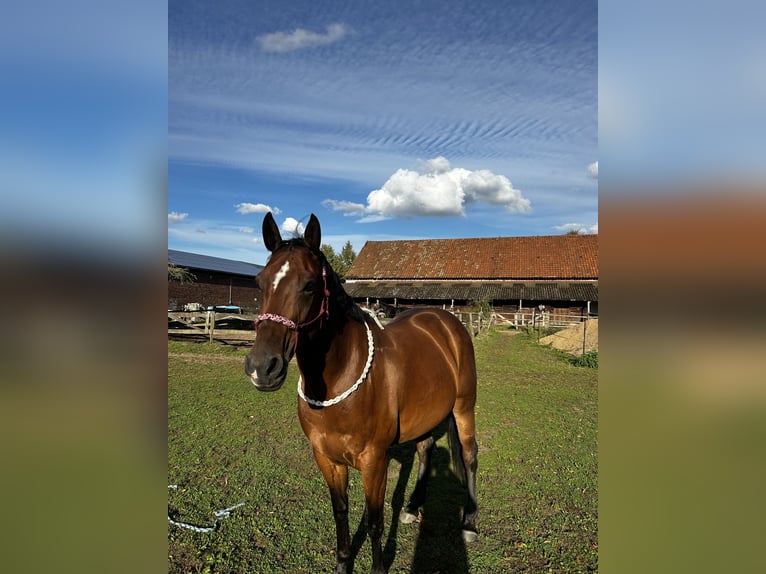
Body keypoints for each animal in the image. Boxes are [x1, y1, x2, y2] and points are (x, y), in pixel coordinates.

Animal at [244, 212, 479, 573]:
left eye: (310, 285)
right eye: (259, 282)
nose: (262, 367)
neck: (340, 381)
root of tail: (445, 321)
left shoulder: (374, 462)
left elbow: (374, 522)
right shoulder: (327, 460)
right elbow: (341, 513)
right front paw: (343, 564)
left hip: (464, 409)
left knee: (469, 457)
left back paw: (469, 524)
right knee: (425, 449)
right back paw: (413, 507)